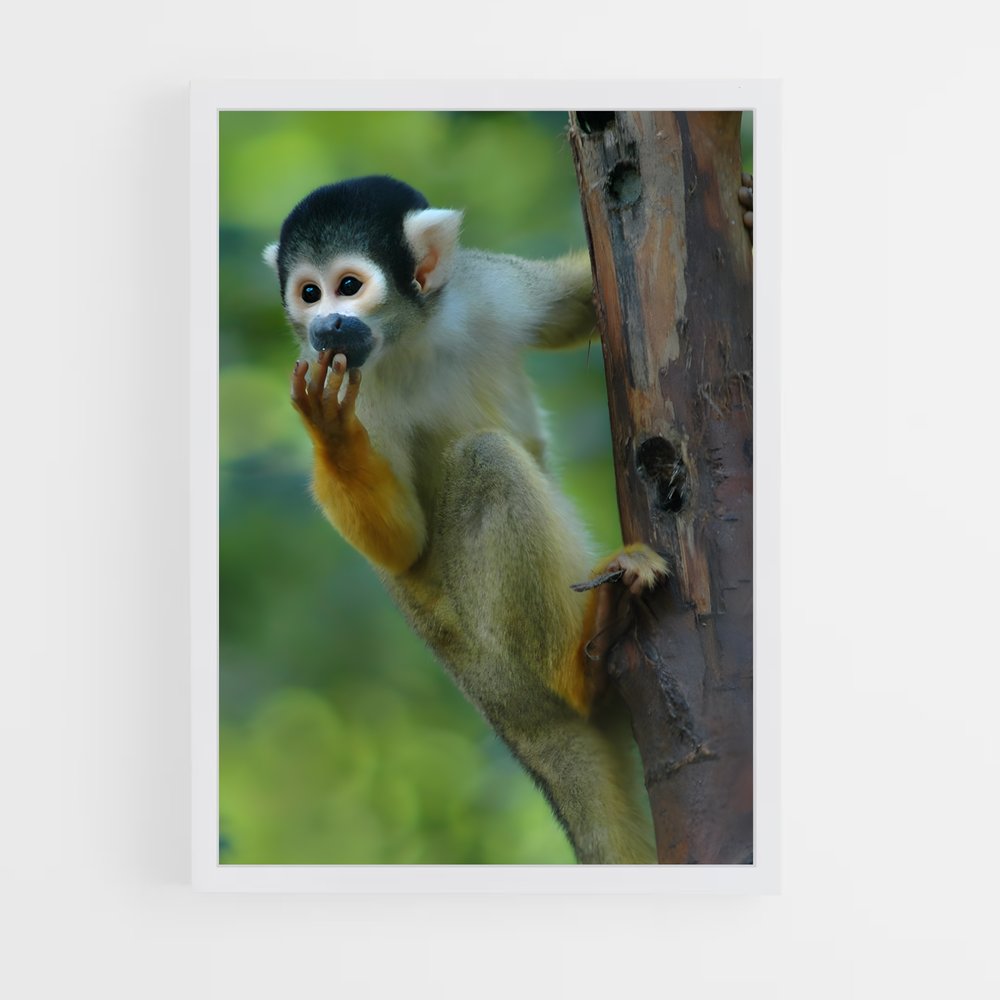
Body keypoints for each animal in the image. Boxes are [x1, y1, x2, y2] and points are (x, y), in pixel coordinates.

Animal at [263, 174, 667, 864]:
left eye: (348, 286)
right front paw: (333, 435)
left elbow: (576, 305)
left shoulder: (484, 288)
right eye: (308, 293)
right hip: (490, 657)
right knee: (485, 462)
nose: (324, 326)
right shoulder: (356, 385)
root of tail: (508, 720)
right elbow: (402, 543)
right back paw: (584, 665)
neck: (411, 337)